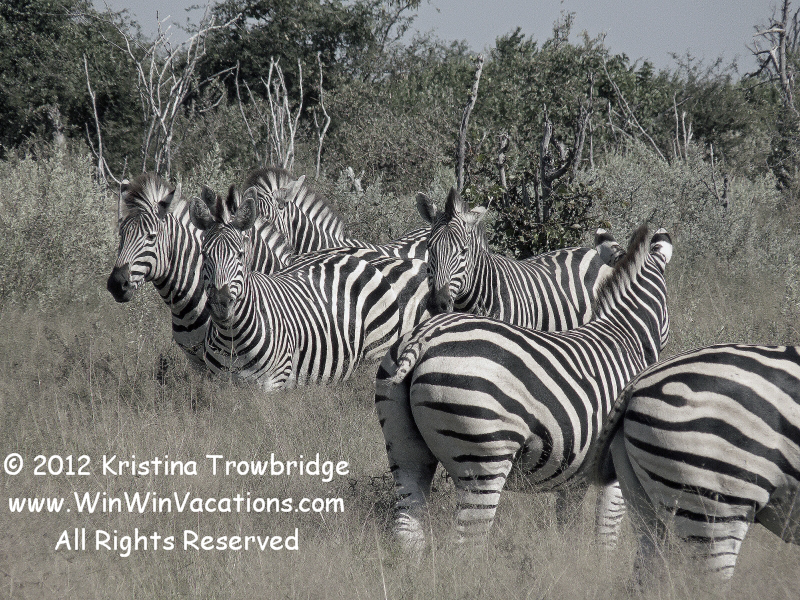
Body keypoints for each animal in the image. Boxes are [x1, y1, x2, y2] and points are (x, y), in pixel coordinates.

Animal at [188, 190, 401, 390]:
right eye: (204, 254)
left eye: (240, 255)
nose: (220, 303)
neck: (232, 336)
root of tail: (354, 259)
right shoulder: (220, 382)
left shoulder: (273, 382)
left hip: (376, 352)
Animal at [374, 225, 672, 555]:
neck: (624, 335)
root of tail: (425, 336)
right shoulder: (617, 467)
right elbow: (607, 530)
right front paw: (604, 563)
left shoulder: (576, 471)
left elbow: (568, 523)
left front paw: (572, 560)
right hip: (483, 458)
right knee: (467, 541)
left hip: (403, 445)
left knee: (407, 524)